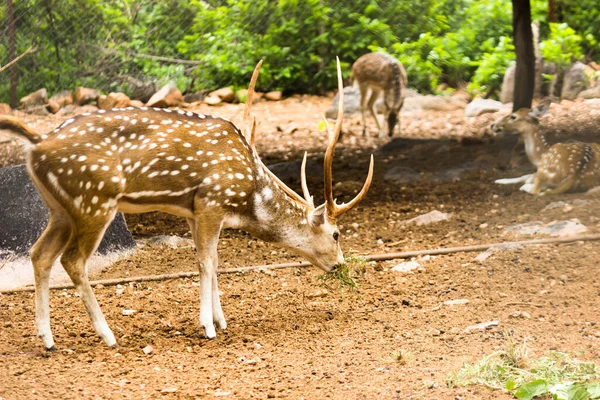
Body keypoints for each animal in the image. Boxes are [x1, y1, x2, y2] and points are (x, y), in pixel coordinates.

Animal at [0, 57, 372, 348]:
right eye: (336, 234)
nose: (340, 266)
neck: (247, 197)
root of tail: (37, 142)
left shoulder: (194, 211)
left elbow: (213, 260)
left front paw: (221, 319)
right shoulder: (211, 200)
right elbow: (206, 262)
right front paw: (208, 326)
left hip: (60, 208)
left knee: (39, 254)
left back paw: (47, 339)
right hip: (94, 200)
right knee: (73, 260)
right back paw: (107, 335)